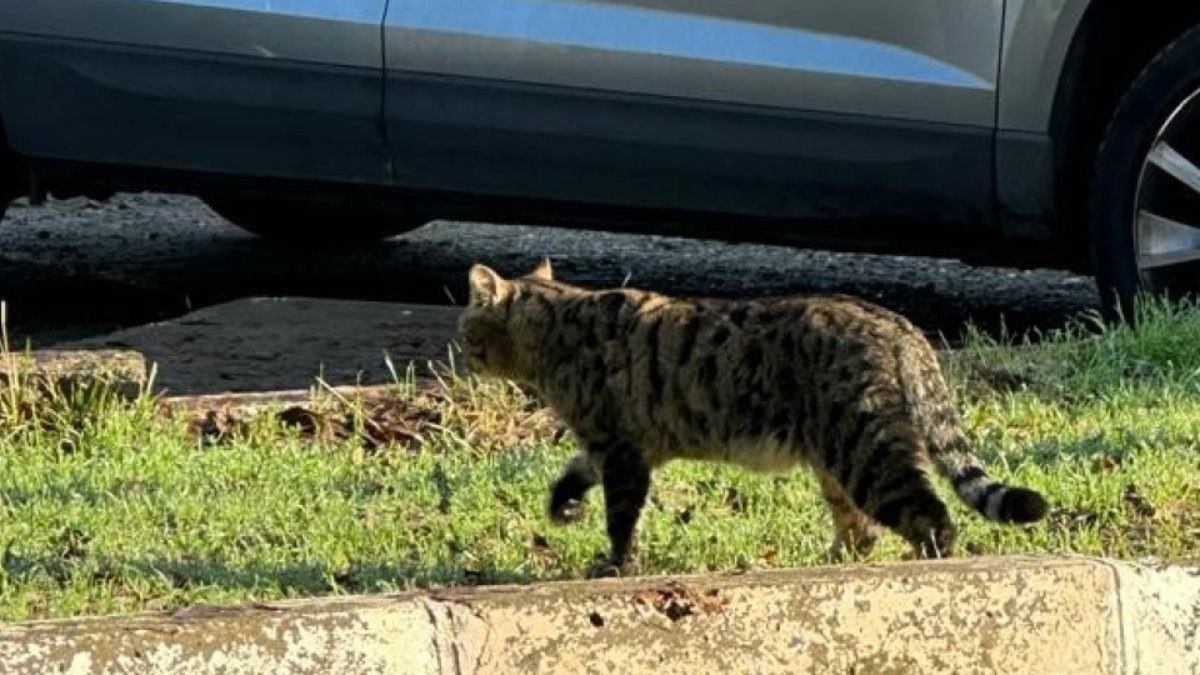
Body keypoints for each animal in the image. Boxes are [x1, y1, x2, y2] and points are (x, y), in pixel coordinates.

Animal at [458, 260, 1051, 576]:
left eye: (466, 327)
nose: (463, 354)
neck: (557, 326)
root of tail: (900, 324)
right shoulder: (622, 446)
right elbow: (576, 474)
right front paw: (564, 507)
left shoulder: (622, 449)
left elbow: (622, 519)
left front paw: (617, 566)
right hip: (837, 459)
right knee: (861, 529)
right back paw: (832, 561)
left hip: (865, 449)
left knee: (929, 515)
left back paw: (925, 563)